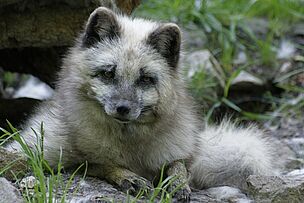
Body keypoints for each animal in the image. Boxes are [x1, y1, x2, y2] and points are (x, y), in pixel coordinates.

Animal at [5, 6, 280, 201]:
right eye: (108, 73)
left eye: (145, 79)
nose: (123, 109)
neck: (131, 144)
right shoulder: (51, 153)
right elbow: (98, 163)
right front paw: (129, 177)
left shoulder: (180, 150)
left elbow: (179, 165)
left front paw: (177, 182)